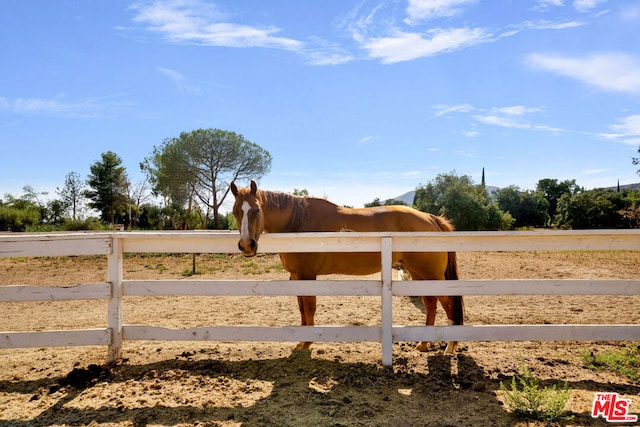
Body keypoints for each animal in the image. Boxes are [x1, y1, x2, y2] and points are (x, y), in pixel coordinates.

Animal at [230, 181, 464, 354]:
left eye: (256, 209)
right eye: (234, 212)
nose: (247, 245)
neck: (298, 224)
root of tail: (431, 218)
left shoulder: (307, 275)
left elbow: (310, 308)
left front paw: (307, 343)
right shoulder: (296, 277)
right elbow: (302, 309)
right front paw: (302, 341)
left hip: (431, 275)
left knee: (449, 304)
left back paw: (450, 348)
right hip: (418, 275)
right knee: (431, 305)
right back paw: (424, 344)